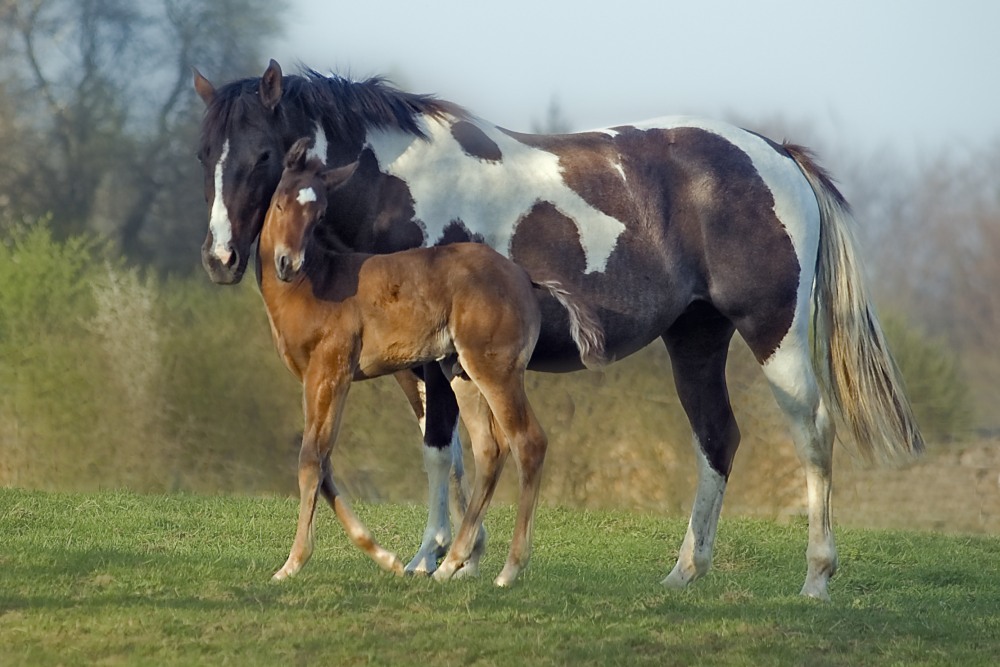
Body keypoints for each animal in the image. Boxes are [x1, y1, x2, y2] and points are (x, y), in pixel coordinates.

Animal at [258, 138, 604, 588]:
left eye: (319, 214)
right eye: (280, 202)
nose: (287, 263)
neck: (317, 284)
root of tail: (523, 277)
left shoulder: (330, 372)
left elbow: (311, 459)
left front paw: (292, 563)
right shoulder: (310, 379)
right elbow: (324, 461)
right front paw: (385, 558)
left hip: (496, 370)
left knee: (528, 441)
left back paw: (508, 569)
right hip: (461, 373)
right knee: (490, 448)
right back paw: (452, 563)